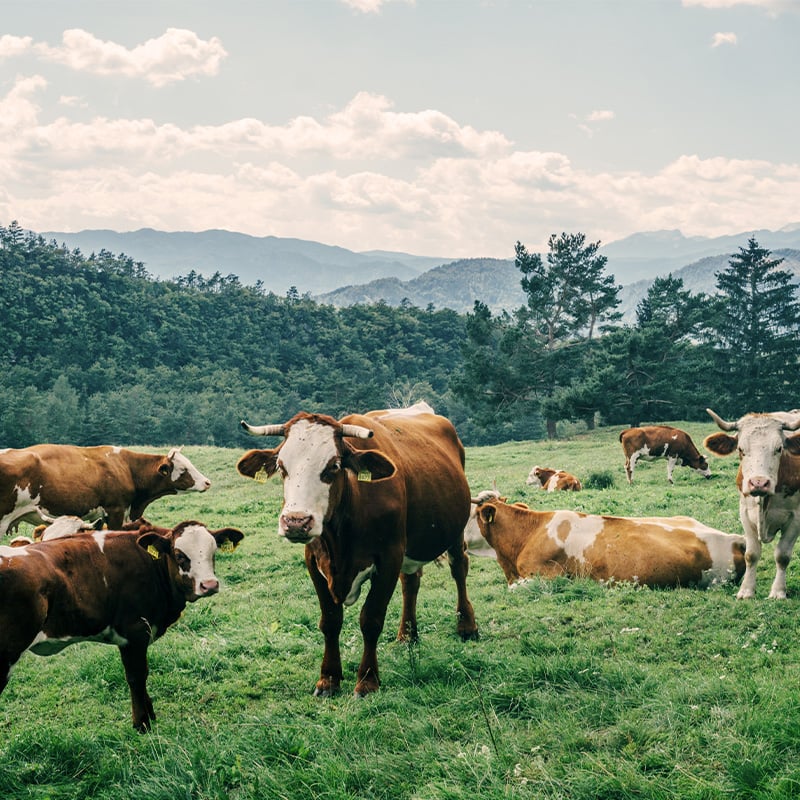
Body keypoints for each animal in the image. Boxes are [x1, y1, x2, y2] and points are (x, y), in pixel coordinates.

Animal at [0, 519, 244, 730]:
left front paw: (150, 715)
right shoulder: (134, 633)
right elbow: (137, 676)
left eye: (214, 552)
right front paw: (142, 723)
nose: (209, 585)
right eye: (179, 555)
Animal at [236, 403, 479, 697]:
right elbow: (330, 620)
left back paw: (467, 626)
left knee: (459, 568)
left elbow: (371, 619)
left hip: (455, 529)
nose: (296, 521)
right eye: (282, 467)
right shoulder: (314, 560)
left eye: (333, 466)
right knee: (411, 581)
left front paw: (368, 680)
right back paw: (407, 635)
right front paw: (328, 679)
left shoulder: (389, 557)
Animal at [704, 408, 800, 599]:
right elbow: (751, 554)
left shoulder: (796, 517)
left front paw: (778, 591)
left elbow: (782, 556)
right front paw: (746, 590)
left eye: (779, 448)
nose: (758, 483)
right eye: (741, 449)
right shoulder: (745, 513)